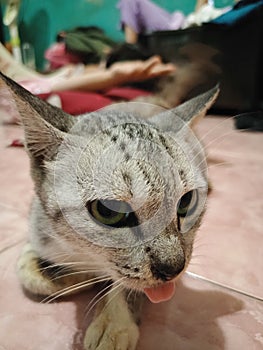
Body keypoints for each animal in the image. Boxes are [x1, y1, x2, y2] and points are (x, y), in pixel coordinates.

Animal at [0, 72, 219, 350]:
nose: (173, 268)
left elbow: (127, 284)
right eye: (108, 211)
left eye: (186, 201)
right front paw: (70, 274)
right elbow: (30, 272)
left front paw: (114, 322)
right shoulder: (38, 230)